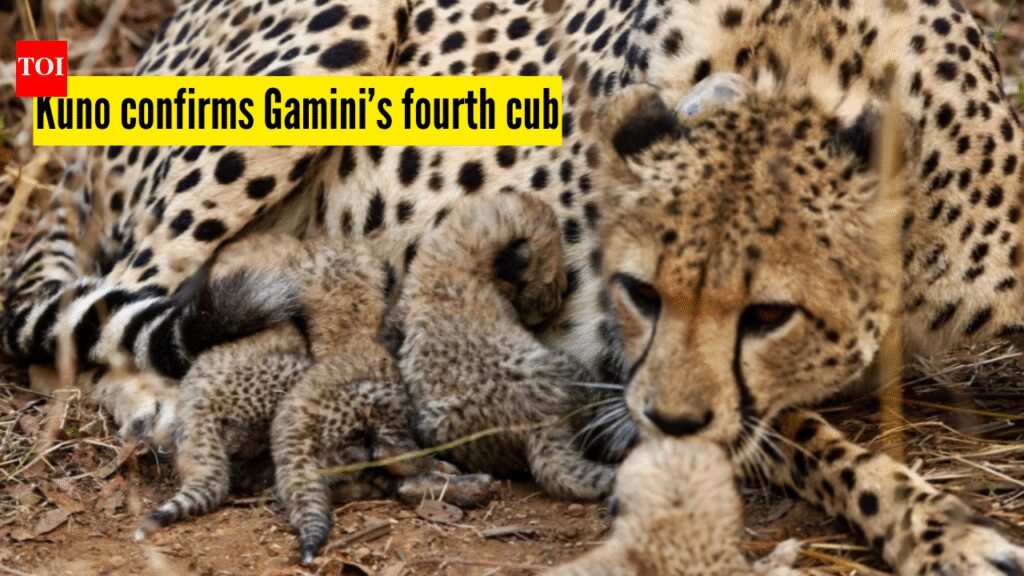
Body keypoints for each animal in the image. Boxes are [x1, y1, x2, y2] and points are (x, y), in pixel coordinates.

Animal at [396, 192, 617, 501]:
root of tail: (539, 425)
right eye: (555, 277)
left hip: (432, 423)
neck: (454, 259)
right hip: (564, 368)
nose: (556, 301)